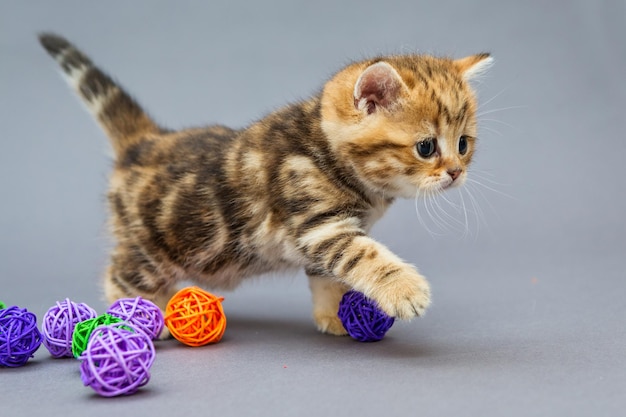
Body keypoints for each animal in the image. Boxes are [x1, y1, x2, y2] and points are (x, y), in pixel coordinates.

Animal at [39, 34, 490, 336]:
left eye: (464, 144)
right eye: (427, 147)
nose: (455, 172)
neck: (323, 149)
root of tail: (145, 142)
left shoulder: (325, 238)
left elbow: (328, 277)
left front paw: (332, 315)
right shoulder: (319, 225)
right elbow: (367, 257)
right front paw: (404, 290)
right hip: (151, 249)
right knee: (119, 273)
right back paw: (134, 322)